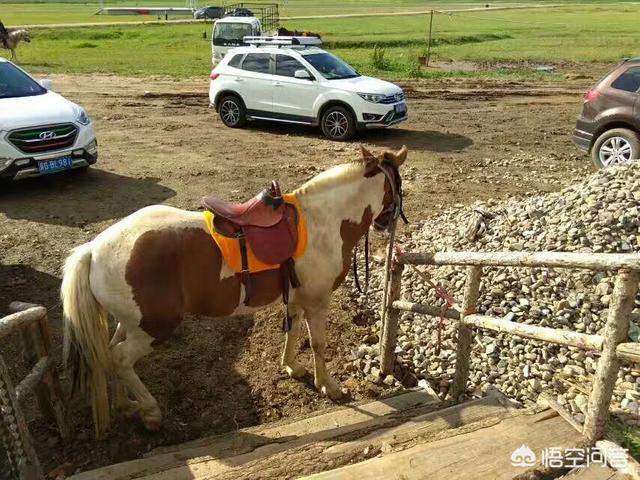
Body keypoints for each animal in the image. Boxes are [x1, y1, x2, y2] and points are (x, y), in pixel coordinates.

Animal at [62, 144, 408, 436]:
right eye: (399, 186)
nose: (385, 223)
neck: (323, 220)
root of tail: (94, 249)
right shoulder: (317, 302)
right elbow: (318, 344)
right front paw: (328, 386)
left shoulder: (296, 299)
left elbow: (292, 331)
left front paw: (291, 367)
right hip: (152, 328)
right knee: (120, 359)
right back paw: (150, 412)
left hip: (129, 323)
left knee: (108, 354)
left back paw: (125, 404)